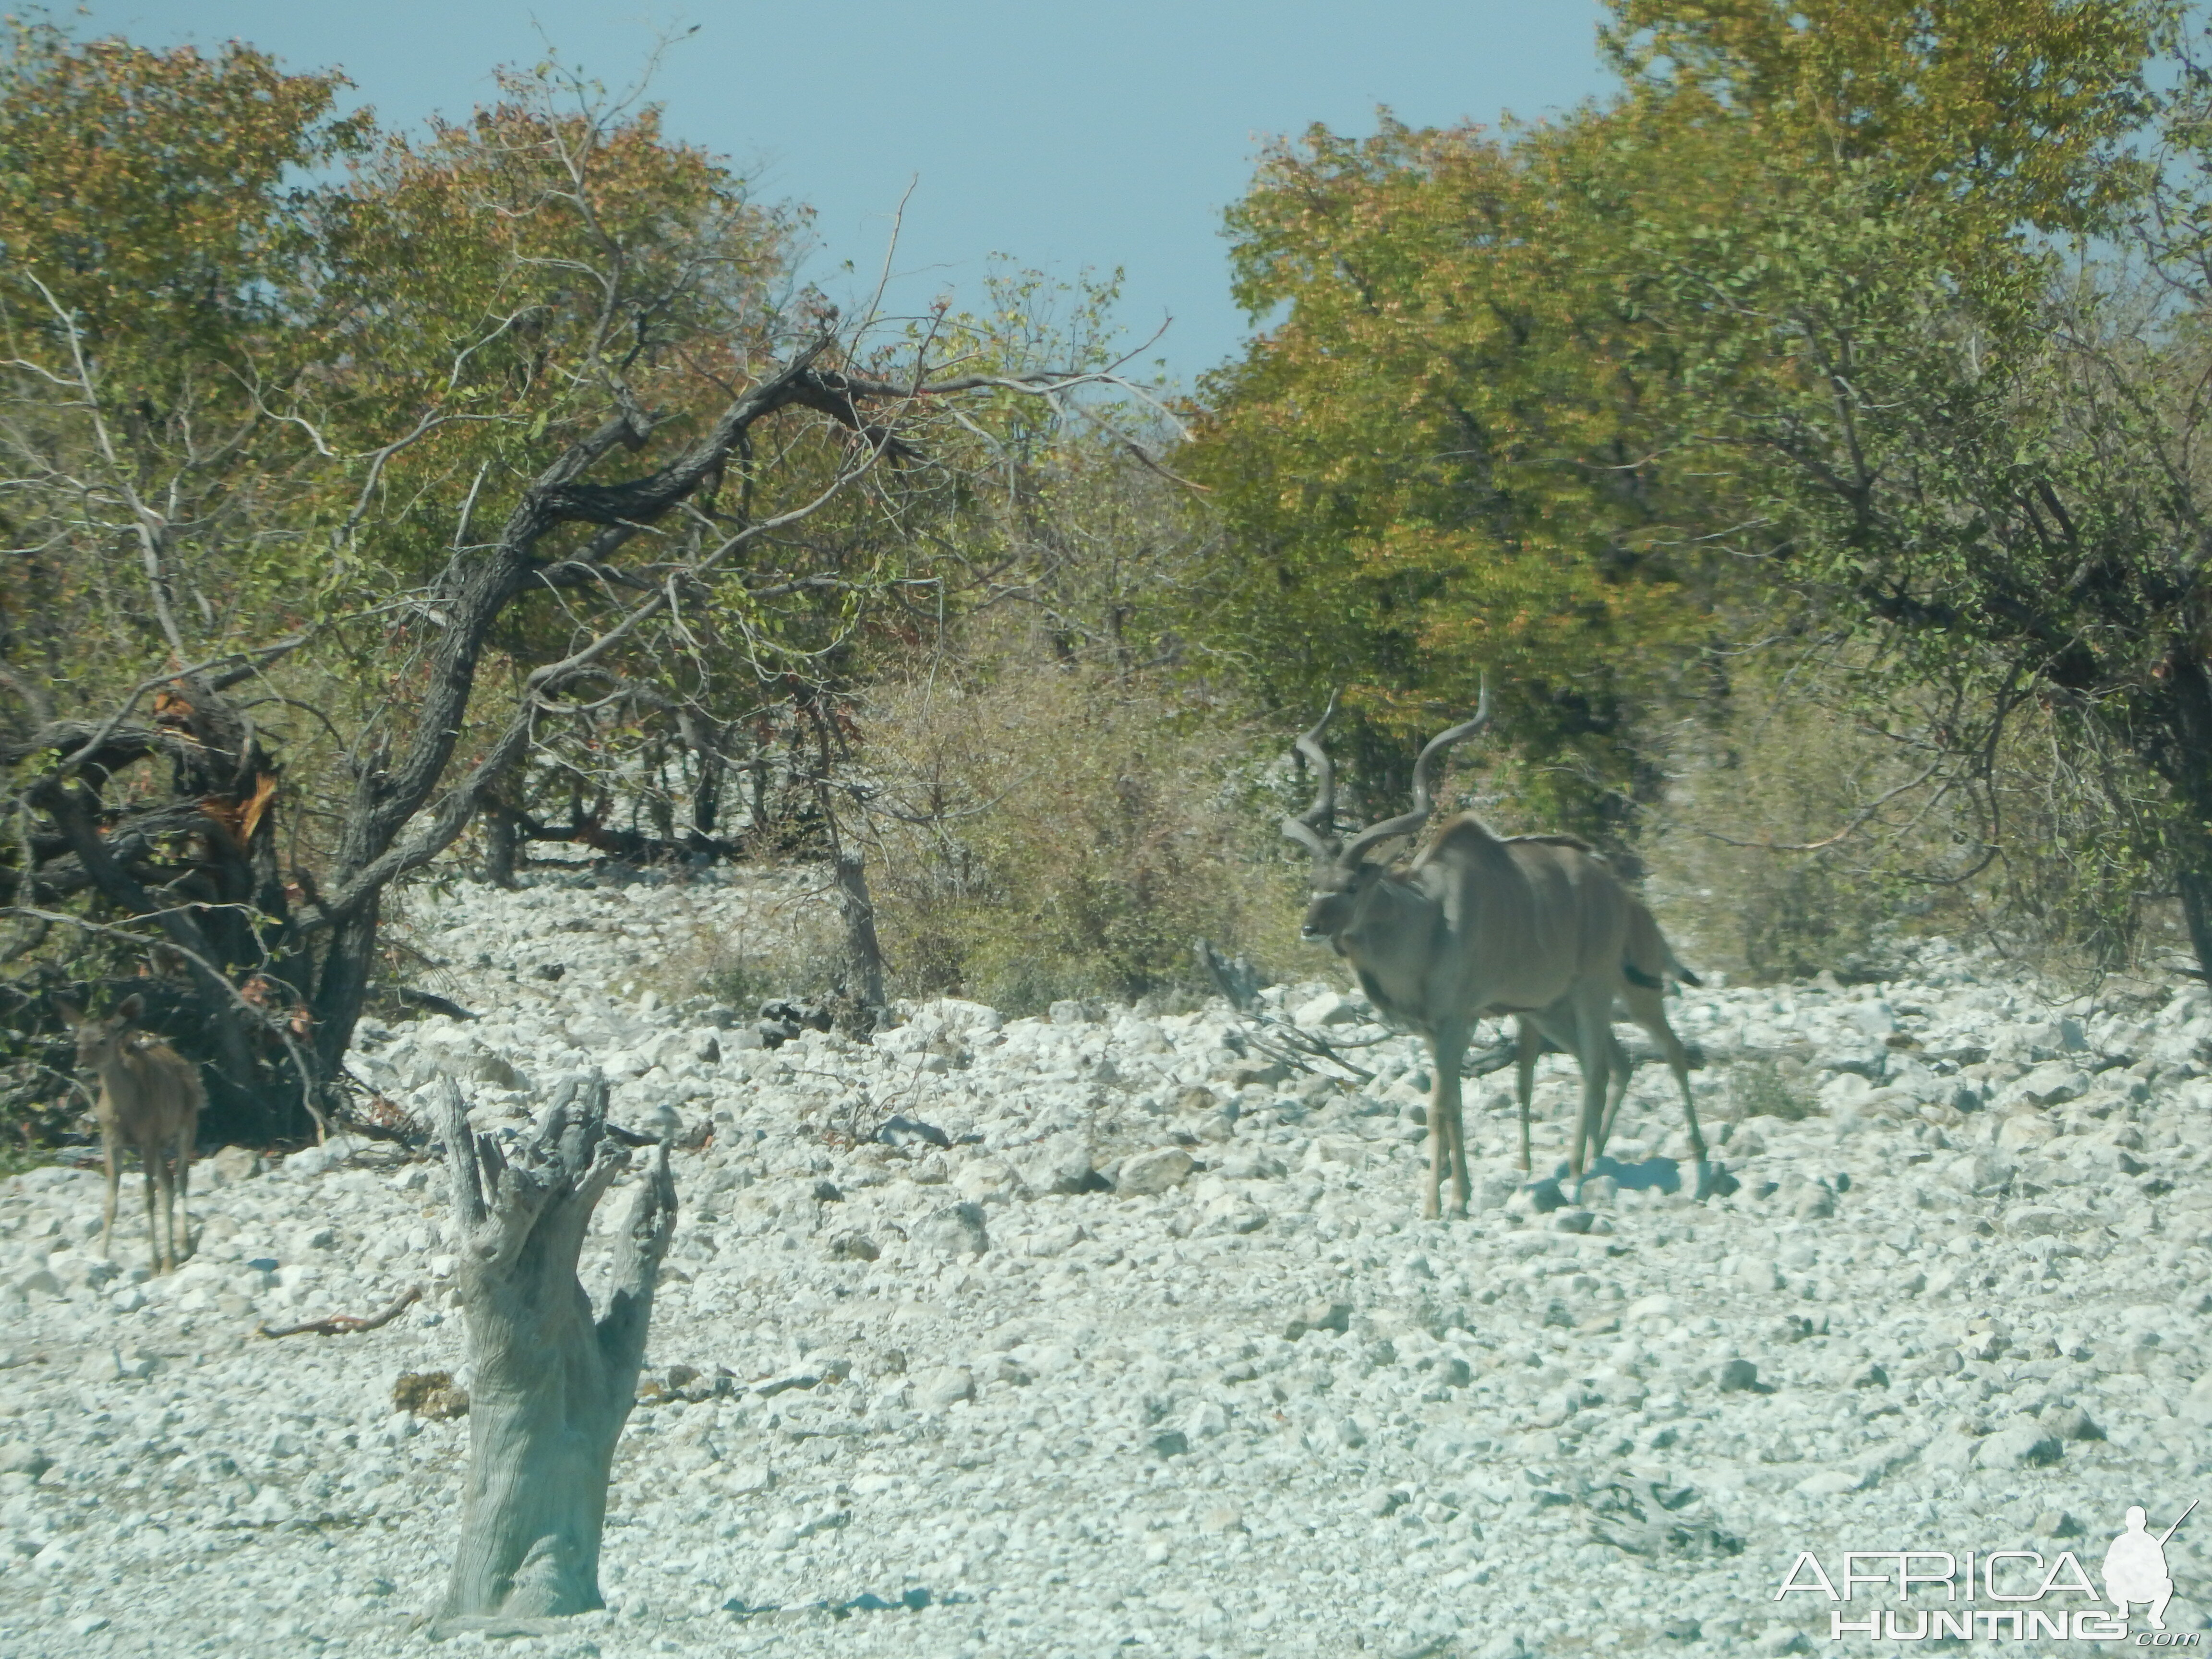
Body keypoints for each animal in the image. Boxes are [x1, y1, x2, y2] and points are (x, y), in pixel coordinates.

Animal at [57, 995, 201, 1283]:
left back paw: (180, 1247)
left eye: (103, 1040)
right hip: (160, 1142)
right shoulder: (111, 1138)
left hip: (188, 1123)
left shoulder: (148, 1136)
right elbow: (111, 1200)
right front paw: (101, 1255)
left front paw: (154, 1264)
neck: (127, 1109)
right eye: (77, 1040)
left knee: (181, 1179)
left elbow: (148, 1198)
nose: (80, 1066)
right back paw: (172, 1255)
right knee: (168, 1182)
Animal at [1283, 690, 1707, 1221]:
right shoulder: (1435, 1029)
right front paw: (1453, 1192)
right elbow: (1451, 1102)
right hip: (1552, 1009)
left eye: (1353, 886)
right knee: (1616, 1062)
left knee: (1623, 1062)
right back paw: (1597, 1158)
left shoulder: (1458, 1019)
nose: (1310, 928)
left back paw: (1604, 1169)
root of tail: (1620, 892)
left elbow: (1442, 1107)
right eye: (1313, 884)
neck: (1428, 920)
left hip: (1602, 989)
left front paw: (1442, 1202)